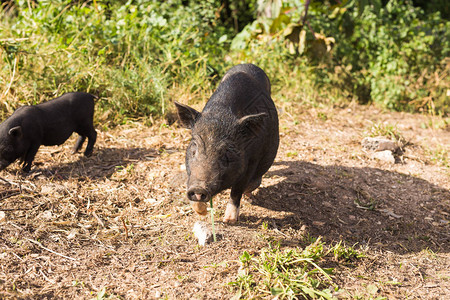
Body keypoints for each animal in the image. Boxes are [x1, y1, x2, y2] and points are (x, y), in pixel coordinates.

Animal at [175, 63, 278, 223]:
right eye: (194, 147)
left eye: (227, 152)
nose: (199, 188)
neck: (221, 113)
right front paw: (202, 213)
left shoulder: (252, 162)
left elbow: (237, 190)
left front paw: (229, 220)